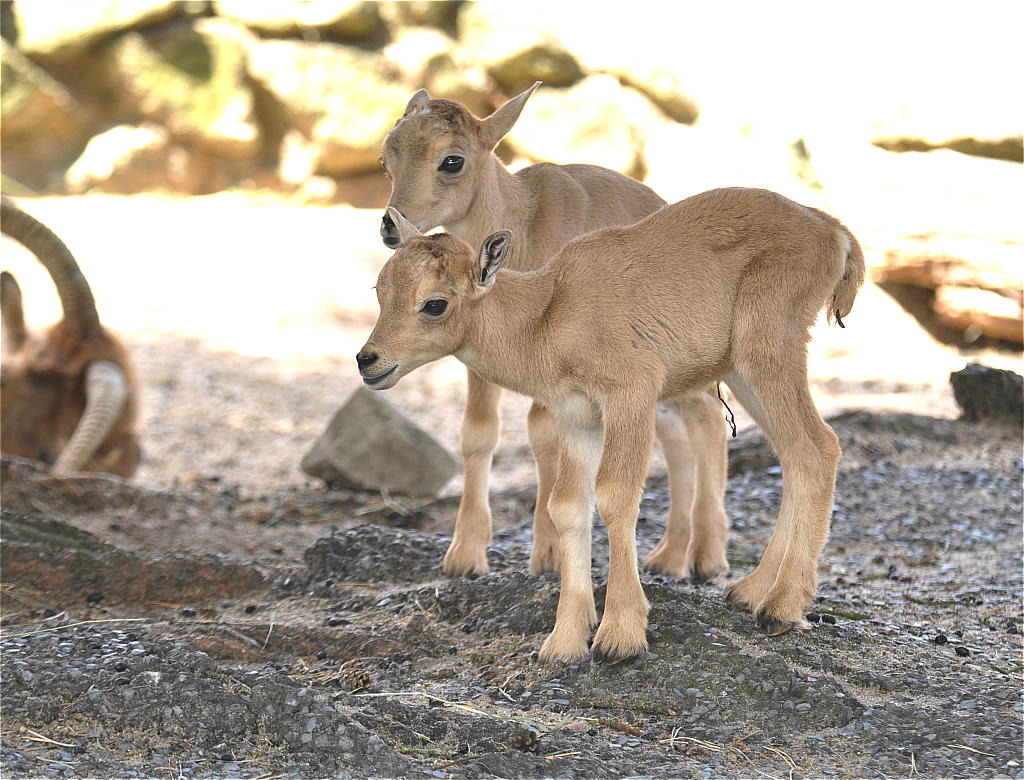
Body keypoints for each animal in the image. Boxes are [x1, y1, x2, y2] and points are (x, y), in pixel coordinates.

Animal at [357, 187, 865, 663]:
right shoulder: (579, 418)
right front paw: (564, 641)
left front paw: (619, 635)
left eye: (434, 304)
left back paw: (781, 607)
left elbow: (616, 495)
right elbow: (567, 506)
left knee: (817, 449)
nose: (368, 361)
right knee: (796, 456)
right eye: (381, 290)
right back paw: (751, 589)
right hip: (742, 370)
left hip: (768, 348)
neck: (549, 316)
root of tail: (835, 234)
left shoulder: (632, 391)